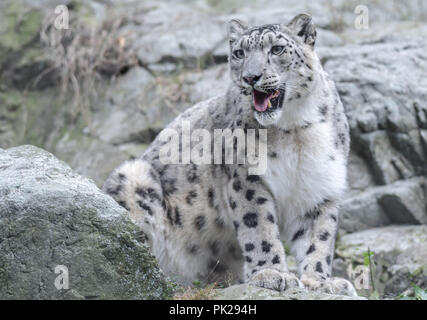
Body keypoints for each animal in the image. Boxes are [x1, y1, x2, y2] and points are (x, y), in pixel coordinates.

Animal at [103, 13, 358, 296]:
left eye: (277, 49)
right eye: (239, 53)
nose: (251, 77)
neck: (295, 128)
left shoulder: (319, 186)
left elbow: (319, 237)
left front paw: (321, 282)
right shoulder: (247, 178)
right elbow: (259, 228)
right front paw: (272, 273)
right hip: (133, 177)